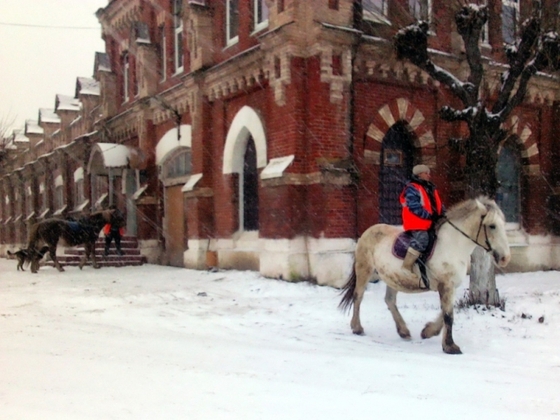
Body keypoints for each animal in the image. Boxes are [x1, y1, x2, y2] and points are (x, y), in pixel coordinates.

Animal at [340, 198, 510, 354]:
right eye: (492, 226)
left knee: (389, 301)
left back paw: (403, 331)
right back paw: (357, 328)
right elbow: (448, 315)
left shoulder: (450, 286)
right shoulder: (446, 286)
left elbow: (448, 311)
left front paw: (428, 332)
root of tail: (368, 231)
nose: (505, 258)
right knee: (358, 296)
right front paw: (450, 346)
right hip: (365, 270)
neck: (453, 245)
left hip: (392, 277)